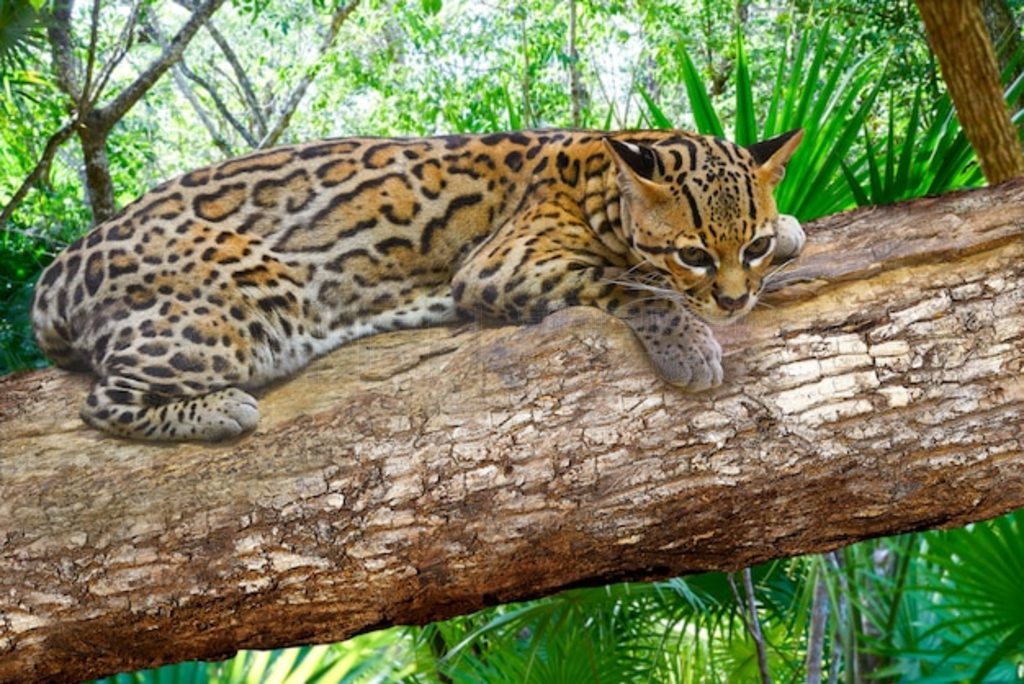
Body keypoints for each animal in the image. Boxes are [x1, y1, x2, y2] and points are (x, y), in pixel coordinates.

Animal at [32, 126, 802, 438]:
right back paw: (218, 411)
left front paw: (793, 228)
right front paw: (688, 342)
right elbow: (627, 279)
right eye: (693, 255)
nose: (733, 301)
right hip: (245, 307)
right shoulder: (503, 265)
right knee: (102, 401)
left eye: (753, 245)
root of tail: (57, 271)